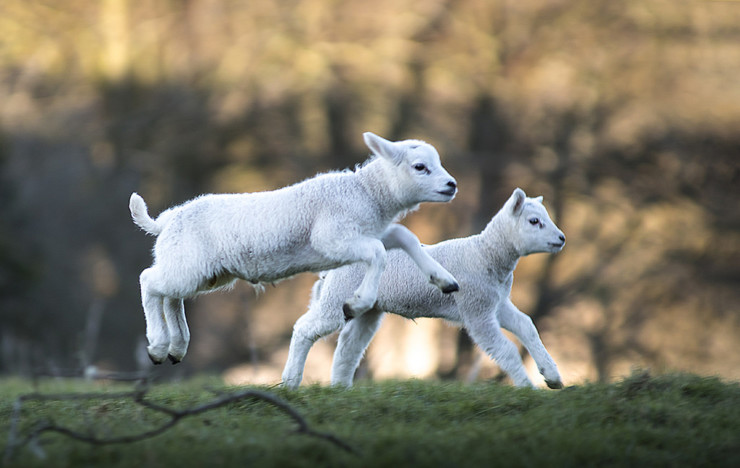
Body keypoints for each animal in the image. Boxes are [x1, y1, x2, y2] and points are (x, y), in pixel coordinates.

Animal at [129, 132, 460, 366]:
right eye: (420, 167)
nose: (451, 185)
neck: (368, 194)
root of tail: (168, 219)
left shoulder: (367, 232)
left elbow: (405, 237)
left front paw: (445, 280)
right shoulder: (333, 238)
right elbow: (378, 253)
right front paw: (356, 303)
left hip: (200, 271)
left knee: (171, 296)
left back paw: (177, 347)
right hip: (188, 265)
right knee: (149, 281)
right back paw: (158, 345)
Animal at [284, 186, 568, 388]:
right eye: (534, 221)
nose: (562, 238)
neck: (485, 255)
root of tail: (332, 267)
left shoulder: (496, 302)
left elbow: (527, 325)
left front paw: (553, 376)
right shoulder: (476, 308)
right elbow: (506, 349)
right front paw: (527, 388)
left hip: (366, 308)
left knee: (348, 346)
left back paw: (341, 389)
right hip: (337, 297)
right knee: (304, 329)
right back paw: (290, 382)